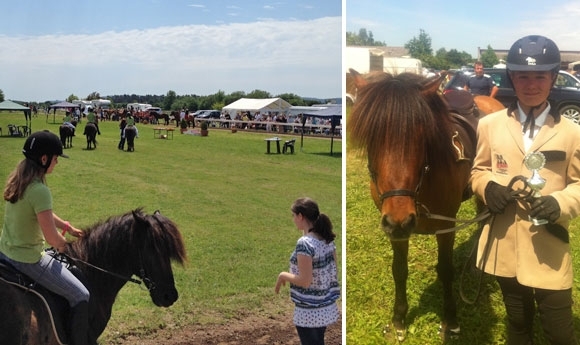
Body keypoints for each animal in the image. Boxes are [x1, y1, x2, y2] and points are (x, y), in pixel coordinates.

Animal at [346, 68, 478, 340]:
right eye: (372, 138)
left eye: (422, 138)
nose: (400, 218)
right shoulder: (395, 230)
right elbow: (399, 269)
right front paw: (399, 319)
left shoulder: (446, 227)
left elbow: (446, 269)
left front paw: (451, 320)